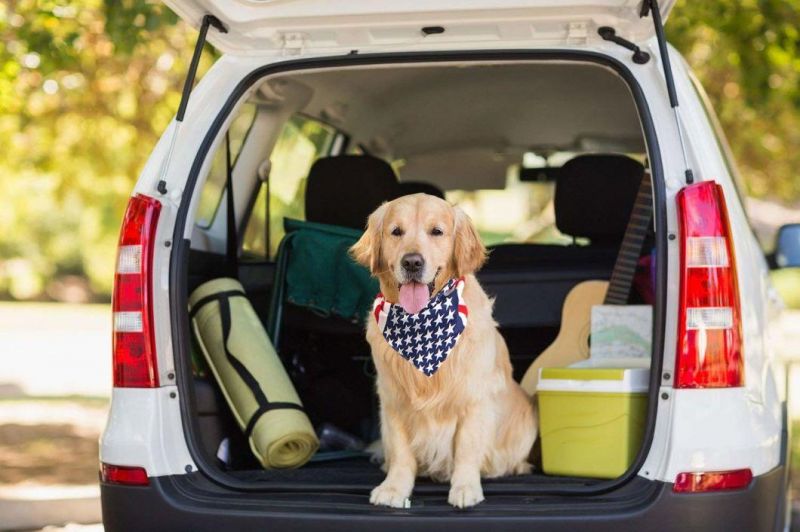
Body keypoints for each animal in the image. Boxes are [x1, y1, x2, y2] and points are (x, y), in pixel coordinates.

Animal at [350, 193, 536, 510]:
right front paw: (394, 488)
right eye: (396, 231)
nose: (412, 262)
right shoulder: (392, 400)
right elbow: (400, 452)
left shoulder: (474, 399)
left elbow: (467, 448)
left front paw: (465, 488)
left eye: (436, 231)